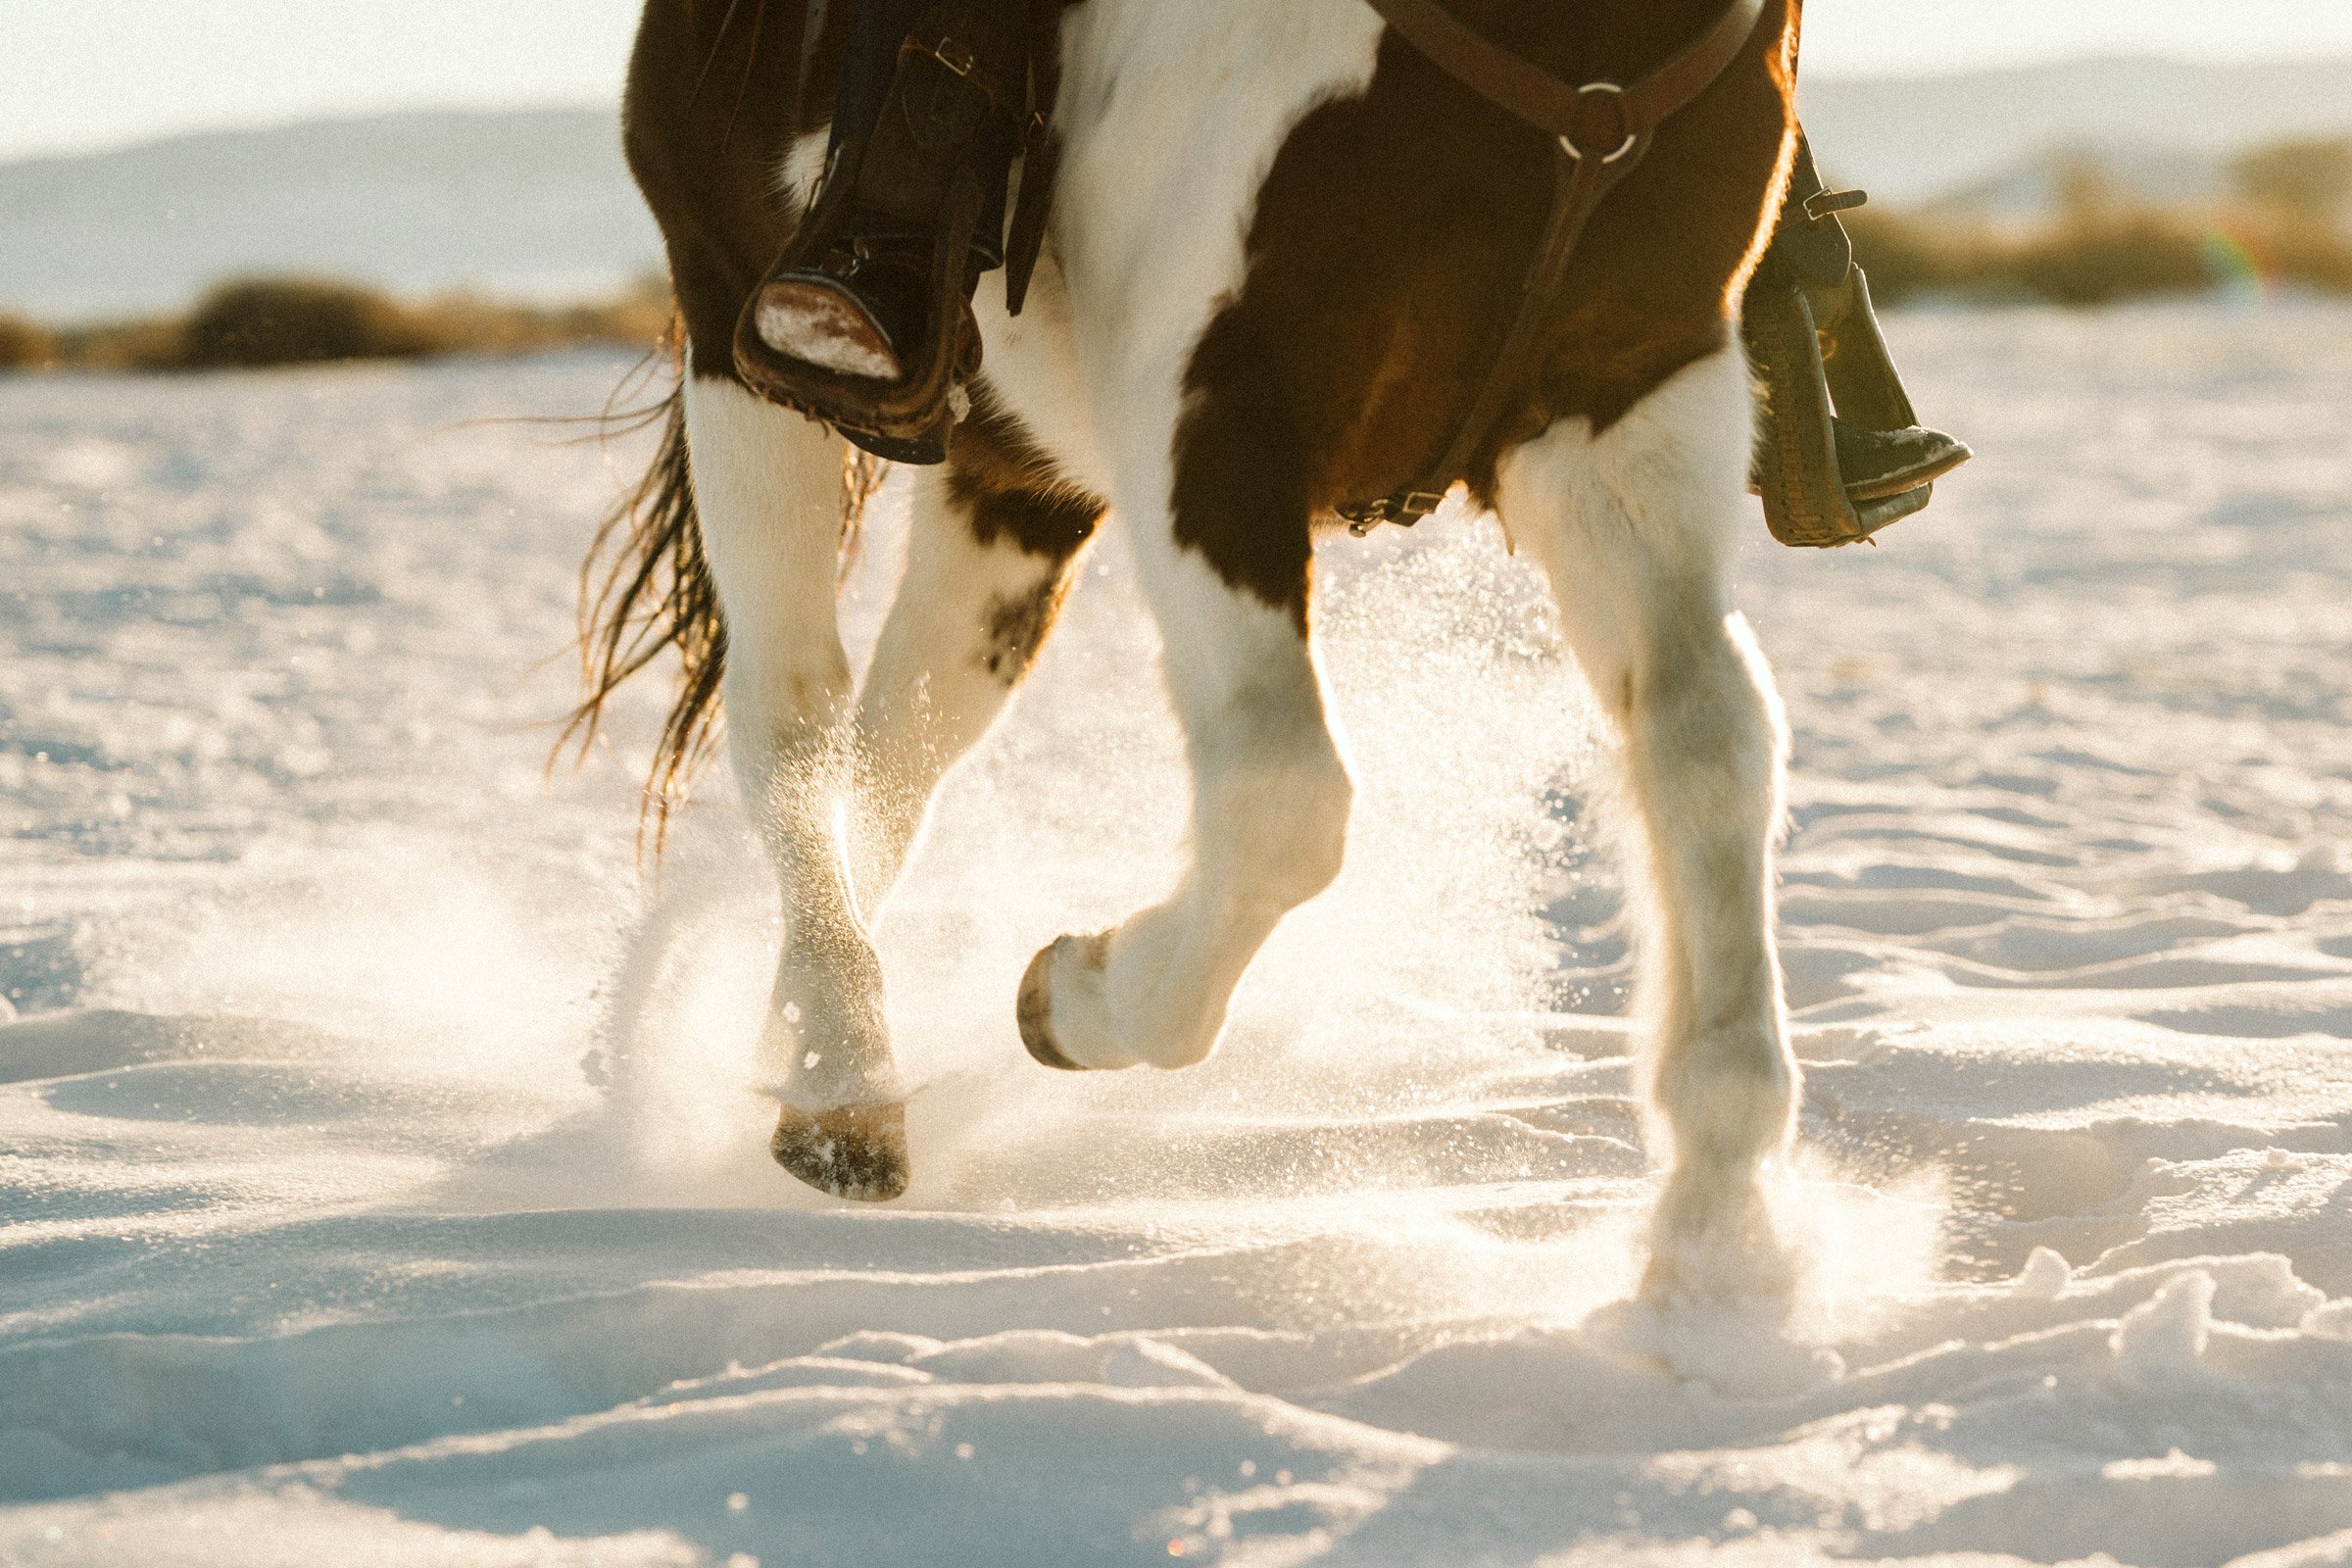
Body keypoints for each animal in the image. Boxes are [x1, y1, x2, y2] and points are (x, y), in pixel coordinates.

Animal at [583, 0, 1796, 1298]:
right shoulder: (1205, 409)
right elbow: (1283, 797)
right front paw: (1077, 996)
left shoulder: (1629, 404)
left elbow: (1711, 747)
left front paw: (1723, 1224)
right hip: (741, 345)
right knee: (795, 717)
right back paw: (841, 1085)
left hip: (1008, 482)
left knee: (898, 752)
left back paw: (801, 1049)